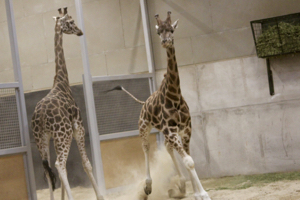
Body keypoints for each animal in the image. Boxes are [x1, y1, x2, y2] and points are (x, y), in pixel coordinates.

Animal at [31, 6, 104, 200]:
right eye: (71, 21)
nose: (80, 31)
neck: (62, 83)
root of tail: (40, 116)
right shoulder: (78, 127)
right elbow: (87, 163)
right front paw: (100, 195)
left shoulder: (54, 136)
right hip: (62, 135)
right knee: (59, 165)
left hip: (41, 139)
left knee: (48, 170)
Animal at [107, 12, 211, 200]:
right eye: (158, 32)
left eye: (171, 30)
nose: (165, 41)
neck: (174, 96)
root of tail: (144, 103)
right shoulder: (171, 130)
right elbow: (189, 161)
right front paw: (202, 193)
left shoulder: (185, 129)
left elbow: (189, 159)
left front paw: (197, 192)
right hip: (144, 126)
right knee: (146, 147)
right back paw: (148, 186)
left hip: (167, 132)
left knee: (168, 148)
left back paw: (181, 185)